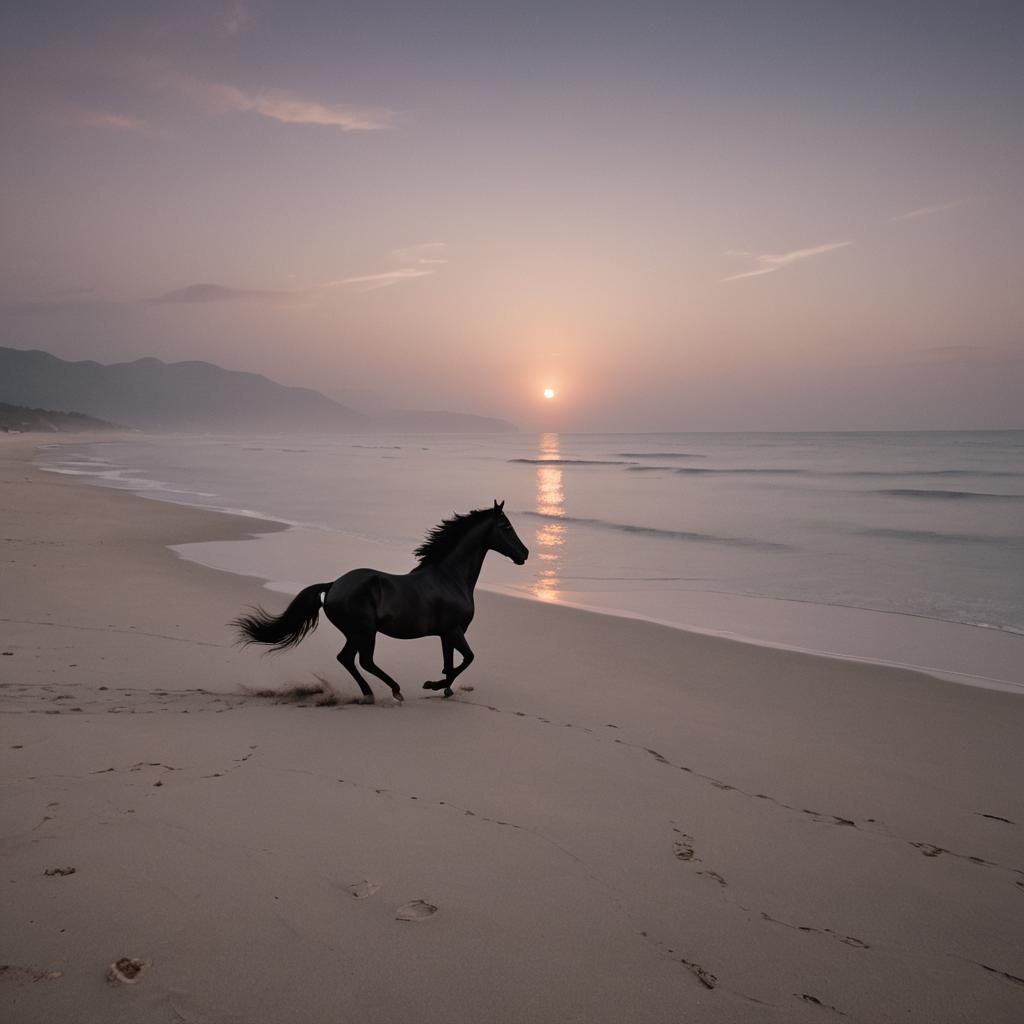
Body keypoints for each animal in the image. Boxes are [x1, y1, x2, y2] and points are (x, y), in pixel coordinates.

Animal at [232, 500, 529, 703]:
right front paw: (432, 685)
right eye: (505, 526)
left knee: (347, 659)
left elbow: (450, 662)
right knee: (363, 660)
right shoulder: (454, 630)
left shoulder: (447, 633)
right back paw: (394, 690)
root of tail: (333, 585)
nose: (525, 553)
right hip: (365, 631)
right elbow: (467, 658)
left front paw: (445, 688)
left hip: (356, 633)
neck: (449, 577)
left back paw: (370, 693)